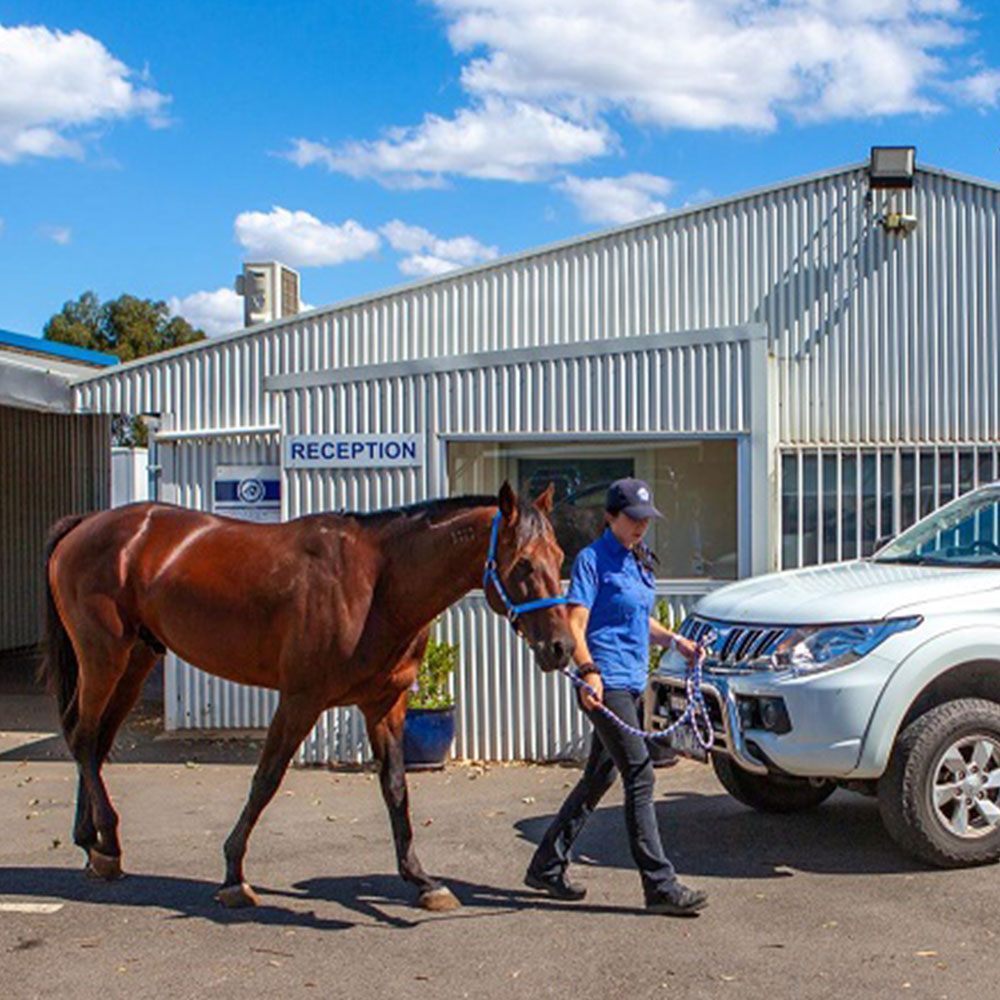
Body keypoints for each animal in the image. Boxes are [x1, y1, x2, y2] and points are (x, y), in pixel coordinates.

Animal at [41, 480, 572, 912]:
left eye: (561, 559)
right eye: (524, 563)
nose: (561, 648)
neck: (376, 585)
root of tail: (85, 525)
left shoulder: (385, 703)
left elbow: (396, 788)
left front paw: (422, 880)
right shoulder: (300, 699)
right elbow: (266, 780)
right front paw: (233, 874)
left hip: (135, 660)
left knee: (94, 743)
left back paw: (92, 844)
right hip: (104, 656)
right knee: (84, 738)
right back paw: (107, 845)